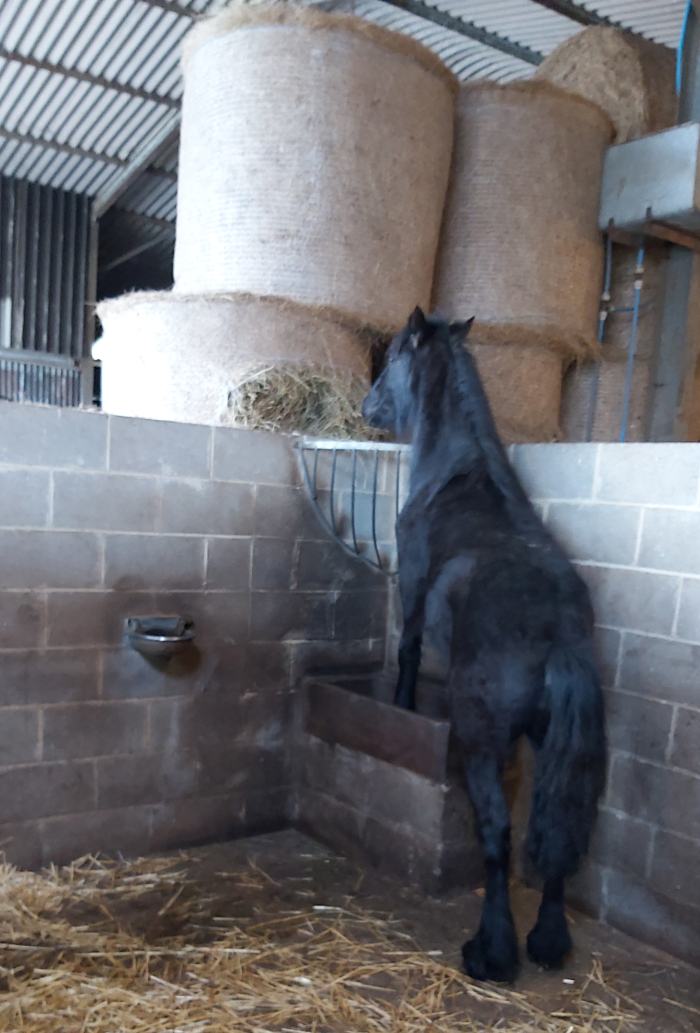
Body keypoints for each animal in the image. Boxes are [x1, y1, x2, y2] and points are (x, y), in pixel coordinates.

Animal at [365, 307, 607, 983]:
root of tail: (558, 640)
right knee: (560, 833)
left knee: (498, 835)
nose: (368, 407)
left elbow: (408, 653)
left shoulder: (412, 585)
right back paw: (548, 942)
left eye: (395, 355)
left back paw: (491, 952)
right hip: (556, 748)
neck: (459, 473)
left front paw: (402, 707)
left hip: (480, 742)